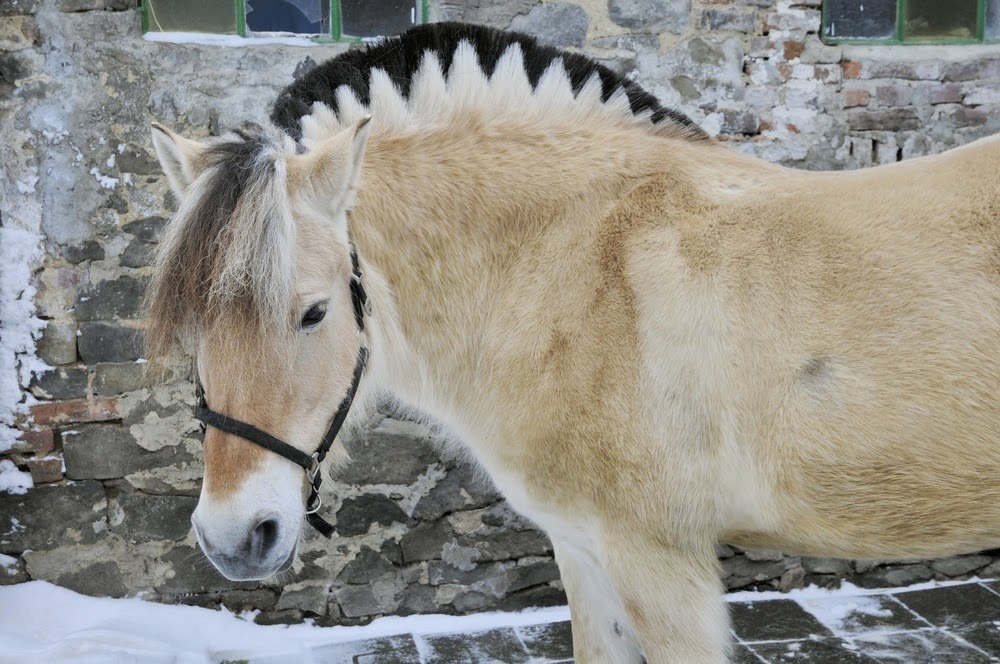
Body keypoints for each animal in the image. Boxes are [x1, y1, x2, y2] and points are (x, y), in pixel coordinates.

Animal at [146, 22, 1000, 663]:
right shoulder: (585, 555)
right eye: (192, 325)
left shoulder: (662, 567)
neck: (576, 266)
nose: (232, 538)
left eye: (314, 313)